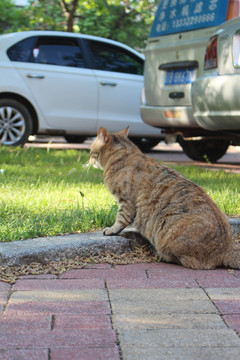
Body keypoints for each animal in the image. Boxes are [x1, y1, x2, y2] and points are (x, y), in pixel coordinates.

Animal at [90, 128, 240, 268]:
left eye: (91, 151)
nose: (89, 160)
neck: (126, 154)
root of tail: (227, 248)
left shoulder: (126, 202)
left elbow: (120, 219)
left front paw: (111, 230)